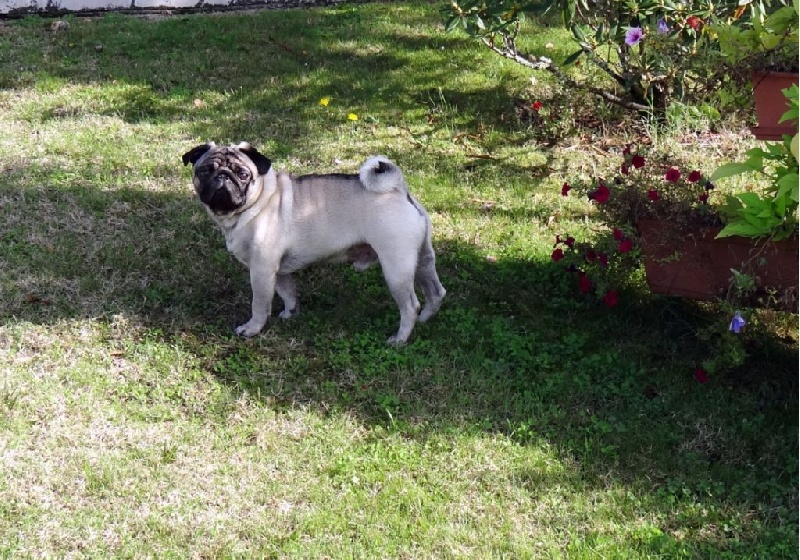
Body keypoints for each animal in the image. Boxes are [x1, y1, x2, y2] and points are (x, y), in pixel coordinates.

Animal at [182, 142, 446, 344]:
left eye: (243, 174)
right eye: (204, 171)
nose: (223, 176)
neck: (257, 203)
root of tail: (399, 189)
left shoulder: (261, 270)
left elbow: (260, 304)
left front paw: (252, 328)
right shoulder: (277, 270)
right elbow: (288, 292)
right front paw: (290, 313)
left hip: (396, 267)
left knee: (410, 306)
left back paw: (400, 339)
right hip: (421, 259)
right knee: (435, 291)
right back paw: (424, 320)